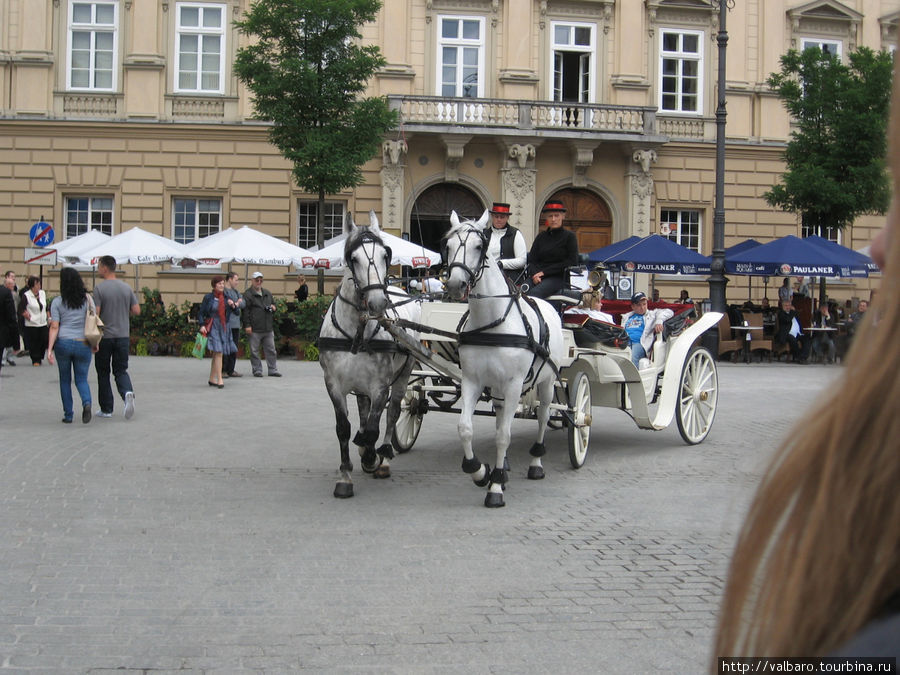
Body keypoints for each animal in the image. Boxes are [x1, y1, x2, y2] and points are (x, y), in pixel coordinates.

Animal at [318, 214, 420, 500]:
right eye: (353, 258)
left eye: (386, 254)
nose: (377, 302)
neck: (357, 330)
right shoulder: (333, 385)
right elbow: (344, 428)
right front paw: (345, 475)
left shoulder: (380, 386)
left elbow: (376, 426)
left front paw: (371, 458)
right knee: (364, 411)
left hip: (405, 373)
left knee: (394, 412)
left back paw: (382, 456)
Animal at [442, 211, 564, 508]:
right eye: (448, 246)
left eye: (479, 246)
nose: (455, 285)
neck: (491, 323)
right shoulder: (472, 382)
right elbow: (466, 428)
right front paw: (480, 472)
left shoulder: (513, 385)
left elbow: (503, 436)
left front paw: (495, 487)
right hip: (497, 388)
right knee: (500, 416)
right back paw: (504, 467)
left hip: (546, 382)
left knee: (543, 416)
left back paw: (536, 463)